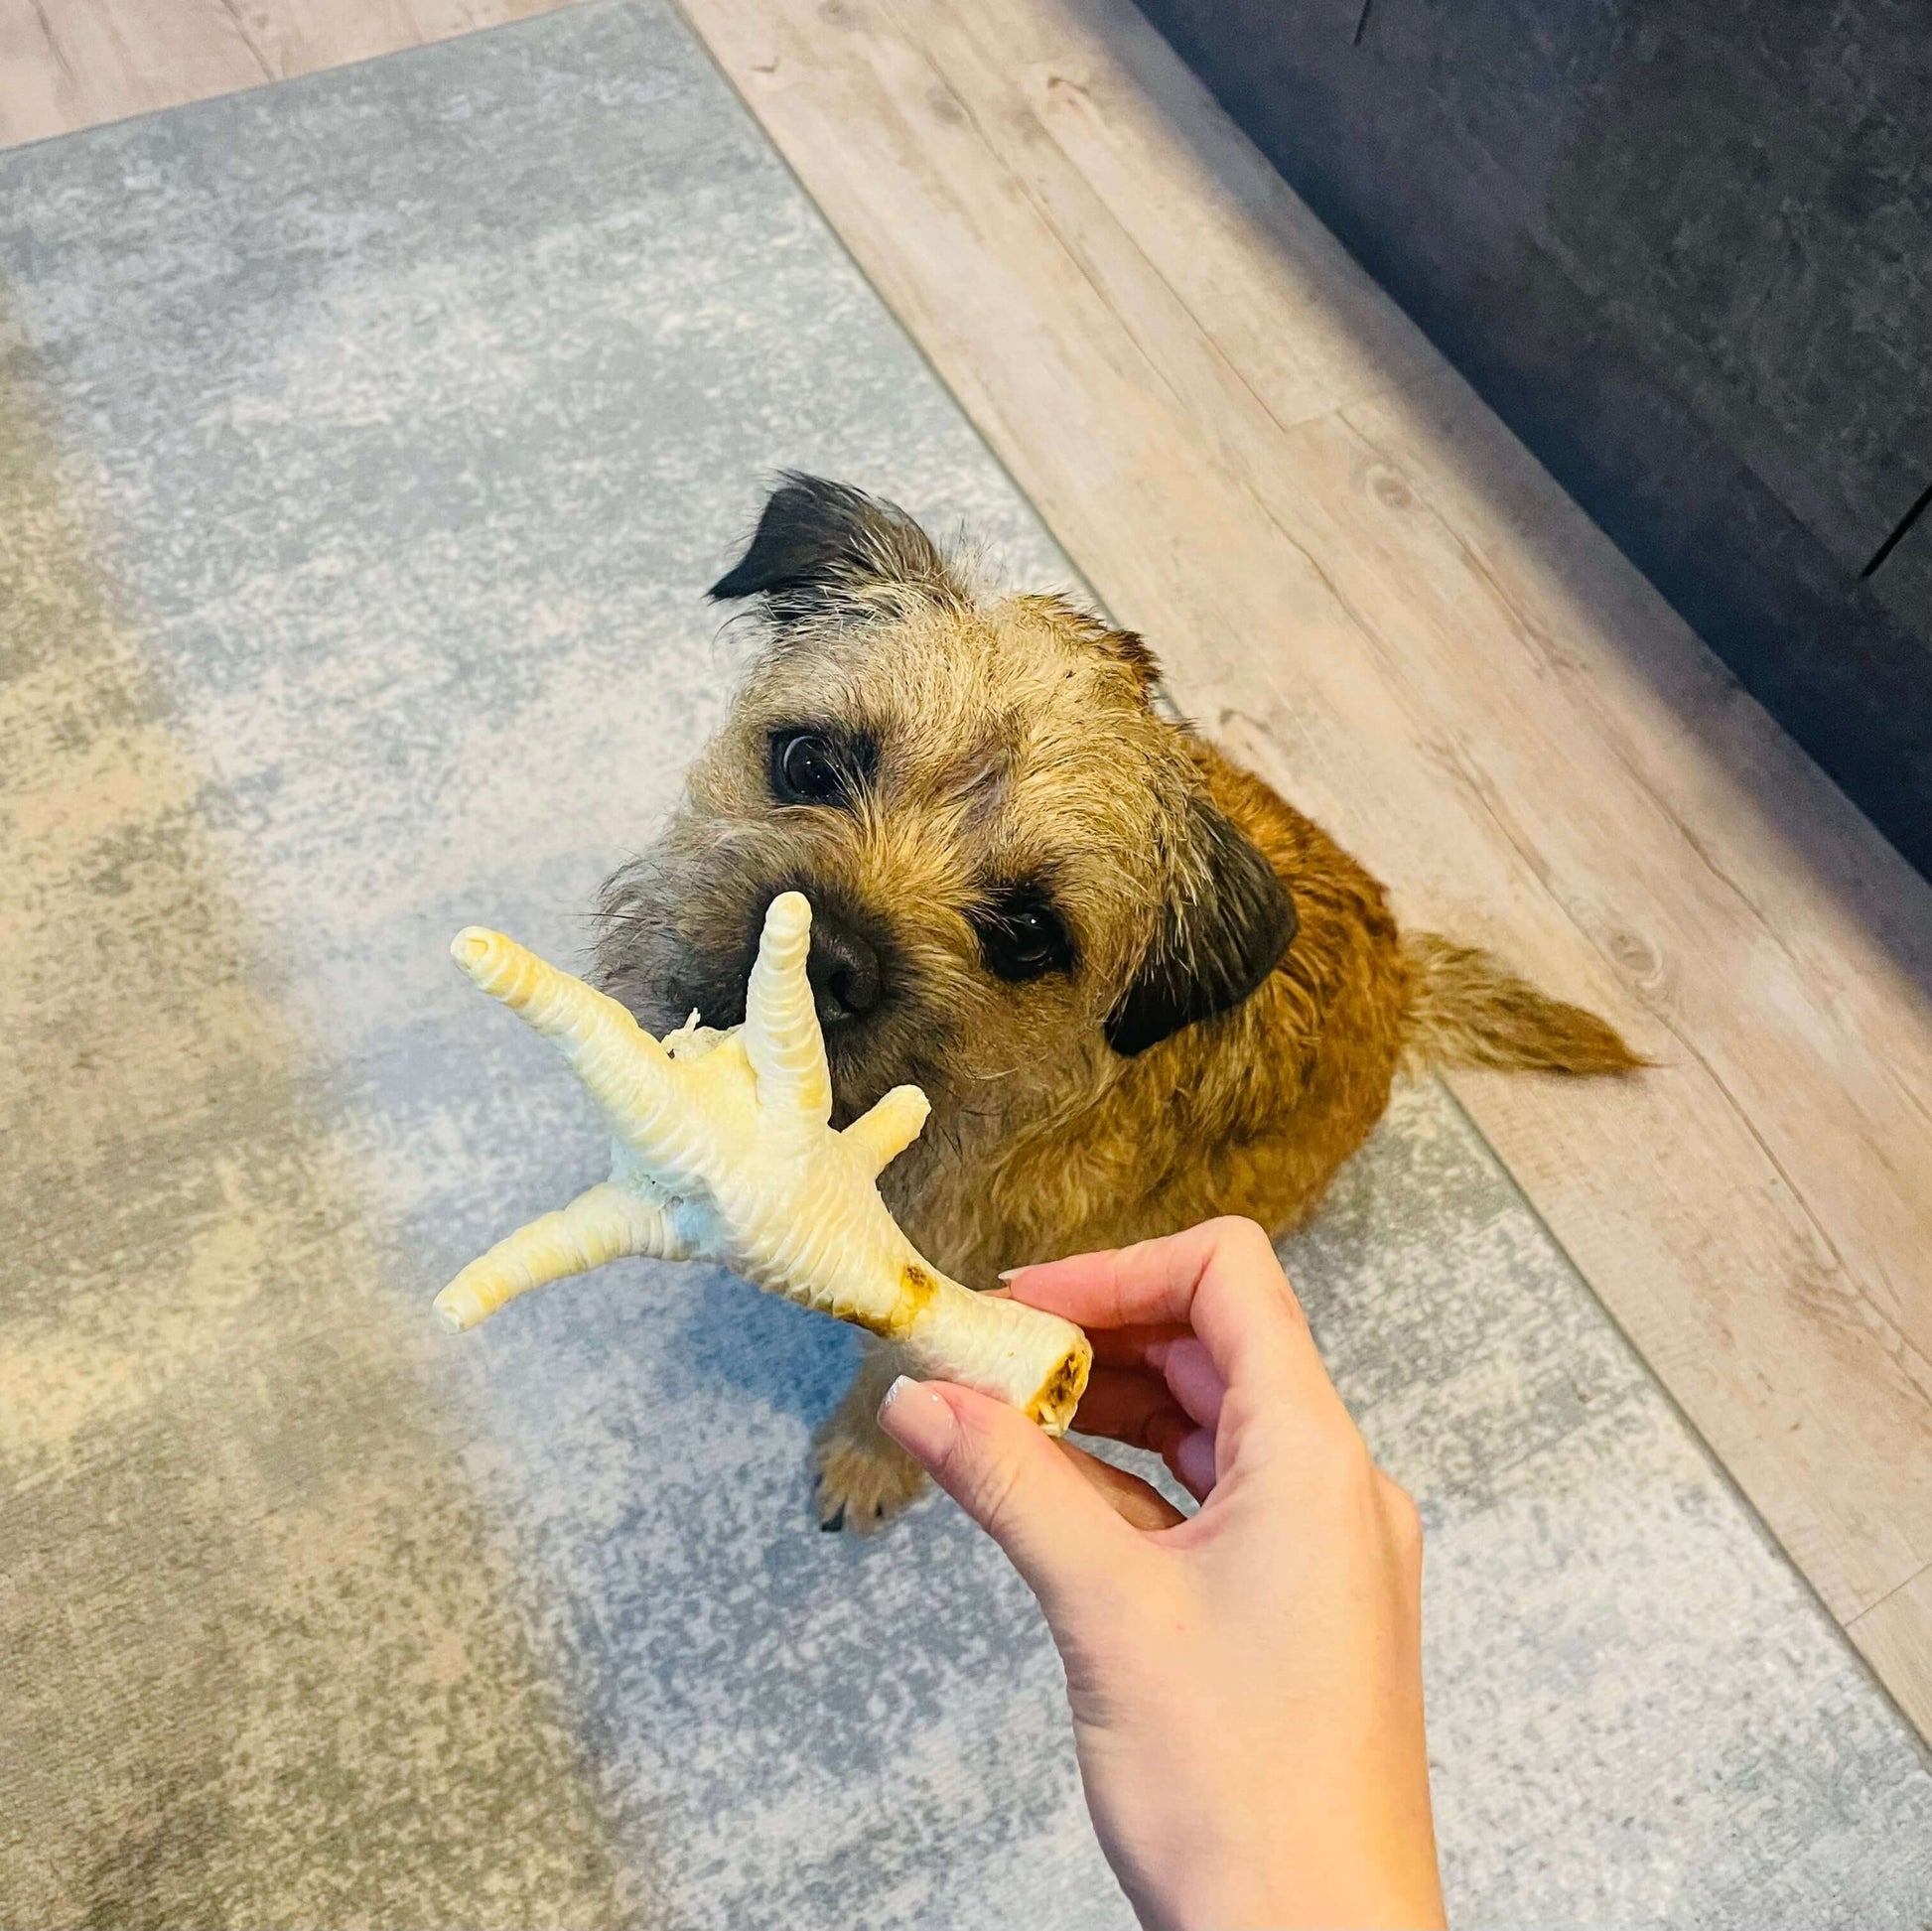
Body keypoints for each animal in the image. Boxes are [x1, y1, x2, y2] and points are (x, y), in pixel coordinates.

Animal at [595, 479, 1638, 1523]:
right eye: (808, 762)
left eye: (1026, 934)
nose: (827, 956)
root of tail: (1407, 978)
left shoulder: (984, 1287)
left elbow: (906, 1366)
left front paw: (865, 1459)